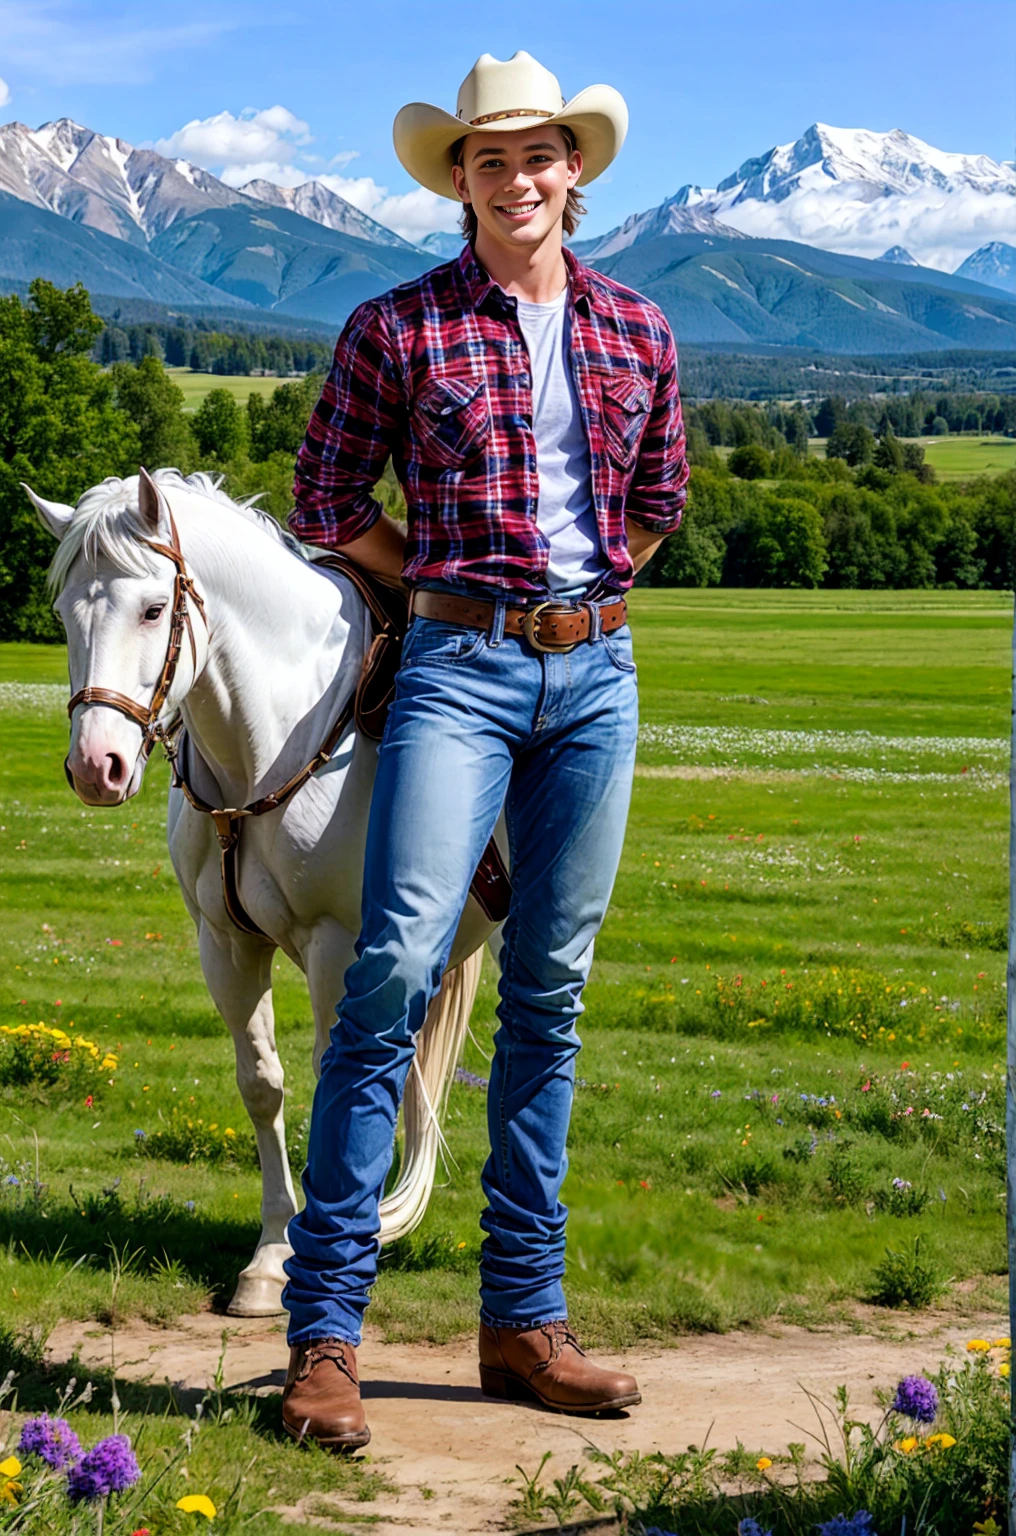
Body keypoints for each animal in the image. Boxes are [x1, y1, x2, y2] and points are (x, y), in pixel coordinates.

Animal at [25, 470, 491, 1320]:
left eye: (153, 609)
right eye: (66, 613)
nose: (97, 767)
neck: (269, 740)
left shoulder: (338, 947)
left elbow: (340, 1083)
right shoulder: (227, 944)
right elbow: (263, 1085)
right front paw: (273, 1255)